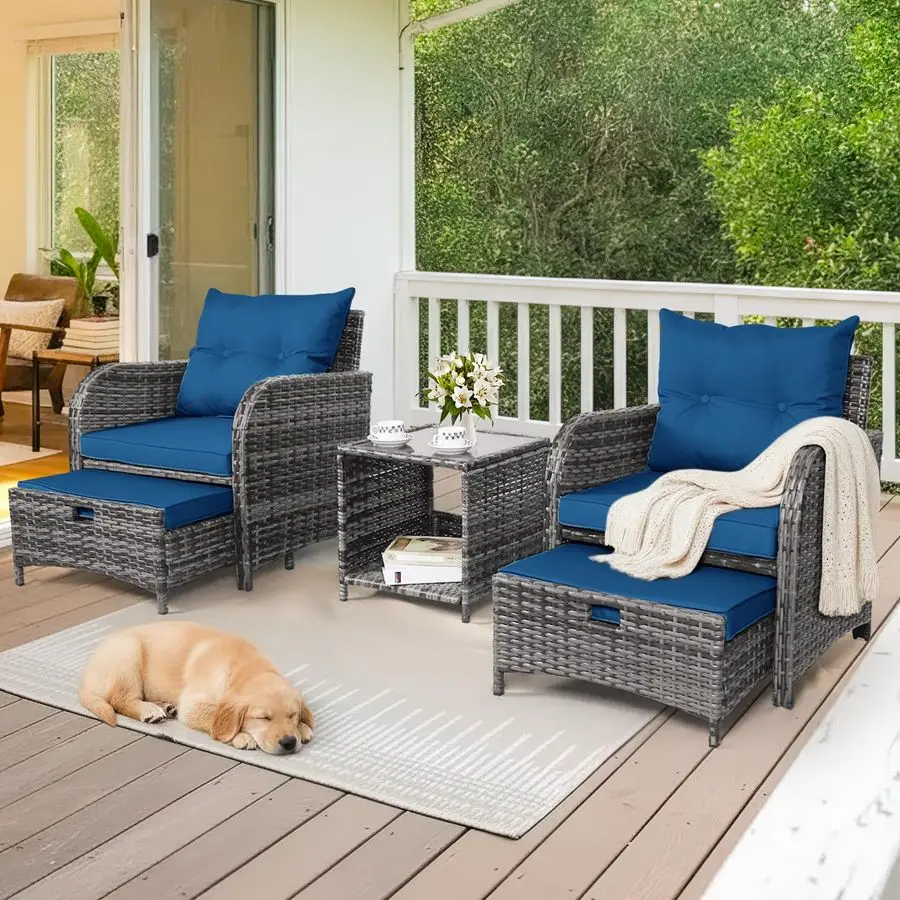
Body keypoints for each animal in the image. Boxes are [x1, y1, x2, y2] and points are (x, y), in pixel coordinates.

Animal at [79, 622, 313, 755]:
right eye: (263, 718)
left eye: (292, 715)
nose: (289, 742)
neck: (243, 666)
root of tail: (86, 675)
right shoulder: (193, 705)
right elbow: (213, 717)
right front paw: (241, 736)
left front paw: (303, 727)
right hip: (128, 651)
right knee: (120, 699)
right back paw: (150, 710)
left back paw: (165, 706)